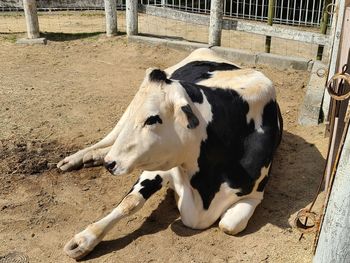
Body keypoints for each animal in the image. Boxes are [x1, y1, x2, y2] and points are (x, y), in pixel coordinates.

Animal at [56, 47, 282, 260]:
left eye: (152, 119)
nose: (110, 164)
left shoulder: (254, 195)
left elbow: (229, 224)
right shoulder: (159, 168)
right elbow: (130, 202)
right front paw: (84, 240)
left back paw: (94, 157)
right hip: (126, 113)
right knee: (109, 138)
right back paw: (77, 158)